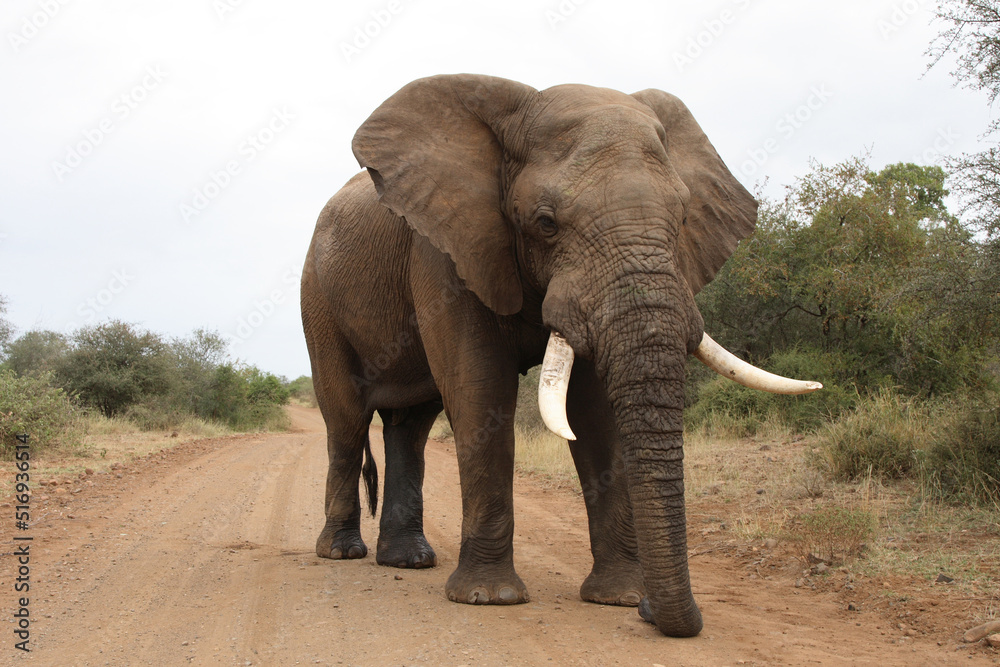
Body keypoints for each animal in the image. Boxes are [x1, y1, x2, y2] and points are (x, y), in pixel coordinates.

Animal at [300, 74, 820, 637]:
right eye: (545, 222)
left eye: (683, 218)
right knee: (347, 421)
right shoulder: (444, 251)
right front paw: (490, 598)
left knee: (410, 428)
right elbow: (480, 394)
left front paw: (619, 597)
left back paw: (410, 561)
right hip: (317, 299)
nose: (653, 611)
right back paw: (342, 553)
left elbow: (593, 416)